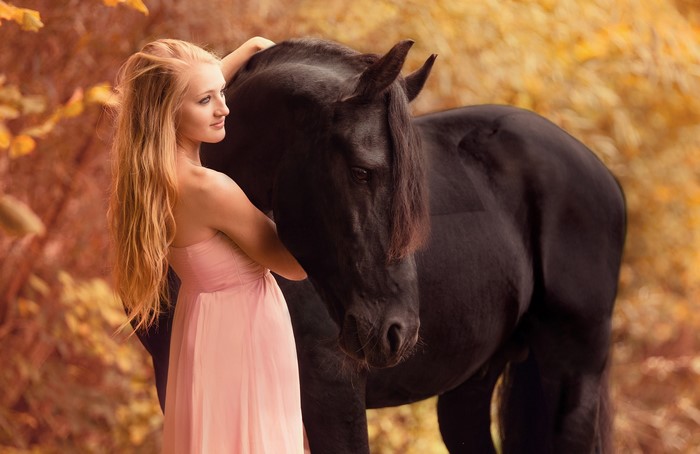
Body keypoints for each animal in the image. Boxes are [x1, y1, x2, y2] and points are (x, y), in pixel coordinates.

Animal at [134, 38, 626, 453]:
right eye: (362, 172)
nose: (398, 332)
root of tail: (604, 173)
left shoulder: (331, 388)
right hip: (469, 390)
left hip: (572, 380)